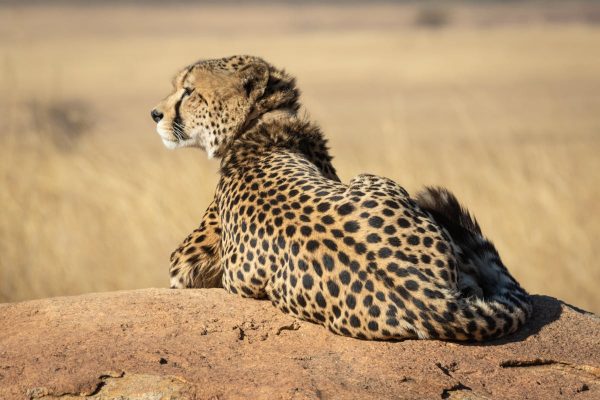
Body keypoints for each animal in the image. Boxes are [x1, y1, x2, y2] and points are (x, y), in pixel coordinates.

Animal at [152, 54, 532, 340]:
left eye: (188, 92)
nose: (155, 114)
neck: (261, 124)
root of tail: (428, 299)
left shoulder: (185, 262)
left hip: (374, 177)